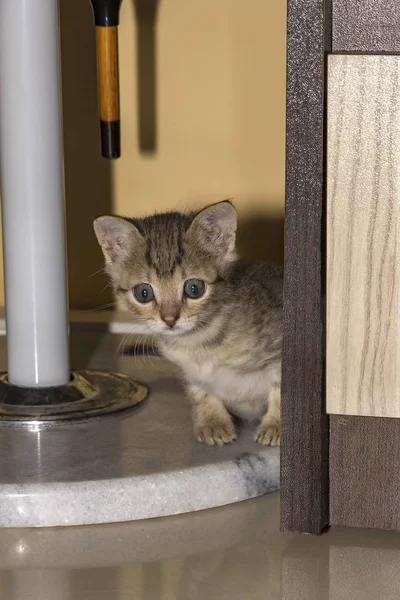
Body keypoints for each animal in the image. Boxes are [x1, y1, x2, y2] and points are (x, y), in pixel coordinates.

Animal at [94, 202, 282, 446]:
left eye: (194, 288)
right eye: (143, 293)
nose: (170, 319)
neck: (199, 342)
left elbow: (282, 392)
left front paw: (276, 427)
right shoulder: (190, 371)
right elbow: (201, 392)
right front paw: (213, 422)